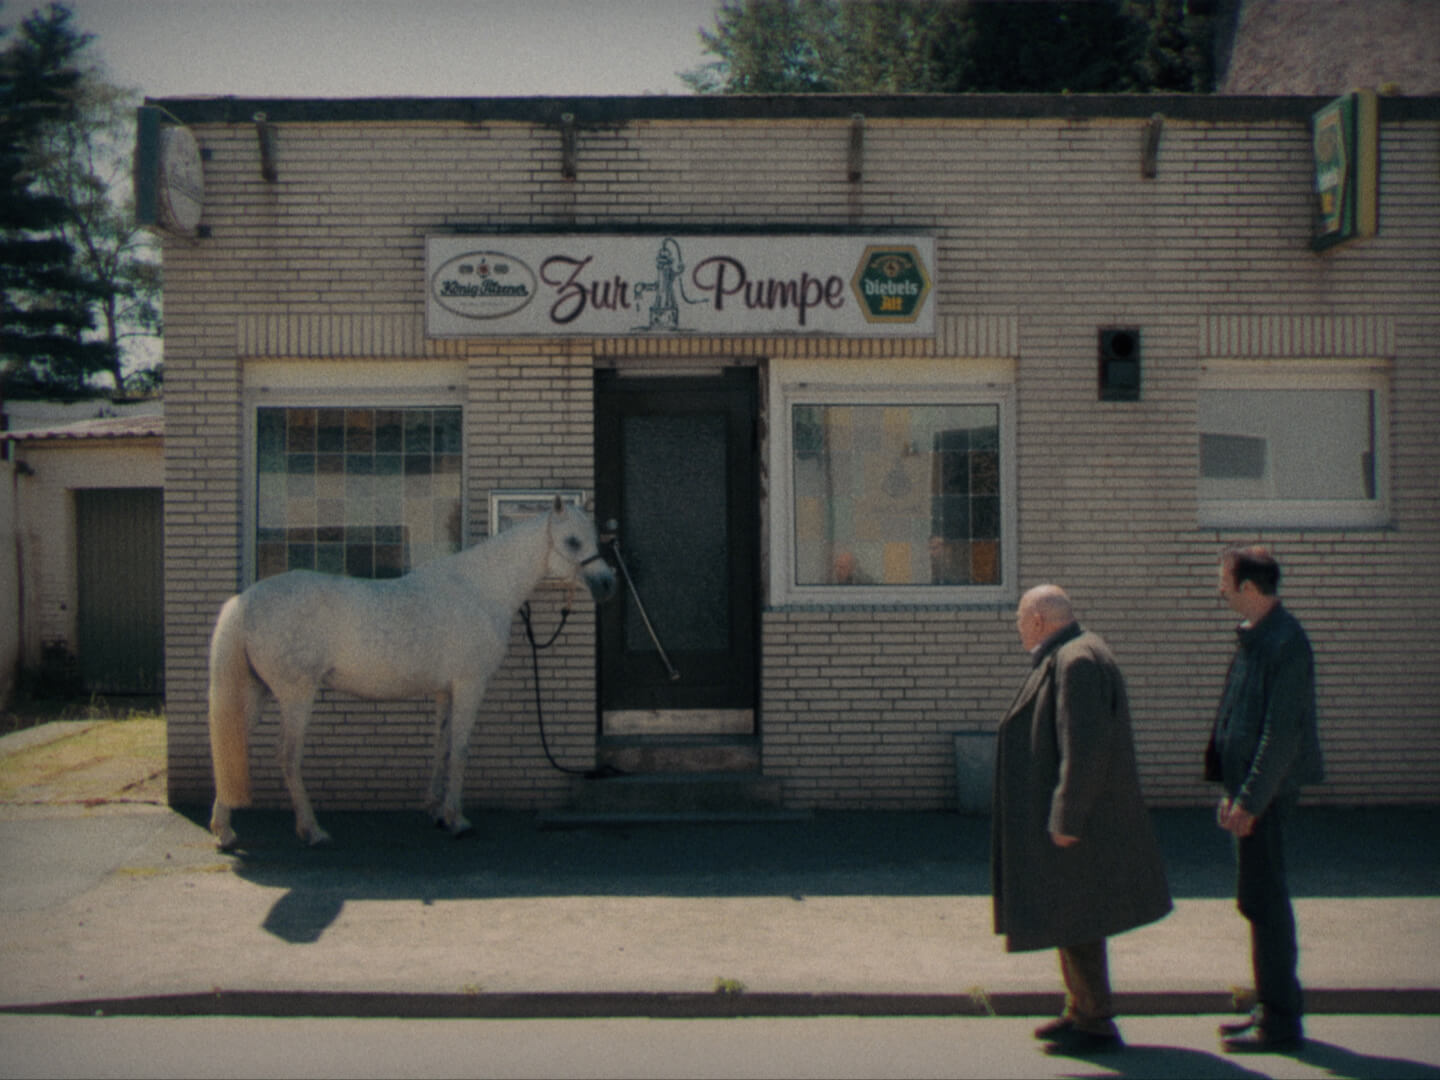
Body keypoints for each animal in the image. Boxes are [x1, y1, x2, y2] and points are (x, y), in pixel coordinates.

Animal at [207, 495, 613, 852]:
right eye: (573, 541)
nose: (608, 583)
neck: (480, 590)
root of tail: (244, 601)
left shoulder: (445, 691)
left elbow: (441, 746)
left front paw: (436, 812)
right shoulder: (469, 686)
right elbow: (460, 750)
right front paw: (458, 821)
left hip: (257, 692)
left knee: (233, 748)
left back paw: (224, 831)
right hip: (296, 696)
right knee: (288, 757)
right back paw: (312, 831)